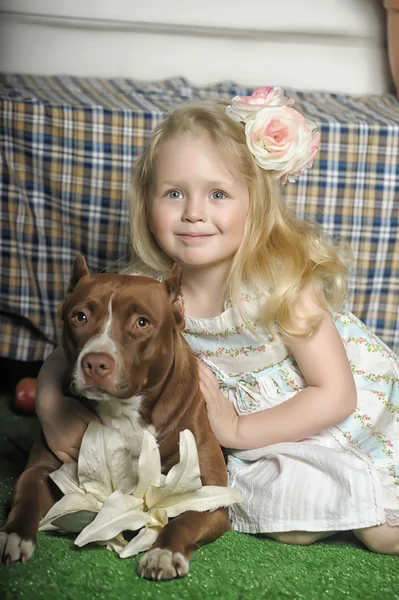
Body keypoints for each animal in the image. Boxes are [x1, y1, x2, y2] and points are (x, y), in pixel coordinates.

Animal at [0, 255, 231, 580]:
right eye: (80, 317)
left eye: (142, 323)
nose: (95, 363)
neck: (124, 412)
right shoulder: (40, 469)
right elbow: (27, 497)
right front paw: (13, 535)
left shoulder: (209, 496)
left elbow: (184, 521)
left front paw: (163, 552)